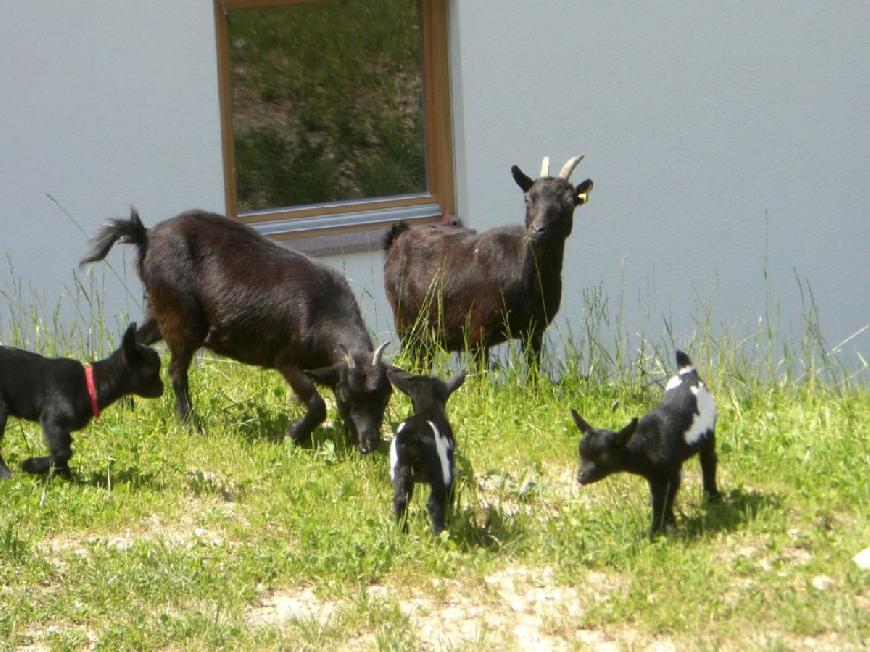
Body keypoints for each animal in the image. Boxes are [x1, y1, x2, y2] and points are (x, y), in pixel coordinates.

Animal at [82, 209, 392, 454]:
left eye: (385, 396)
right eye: (349, 398)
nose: (369, 444)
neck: (322, 309)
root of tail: (145, 235)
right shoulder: (286, 360)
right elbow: (317, 405)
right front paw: (291, 437)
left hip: (161, 313)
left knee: (135, 341)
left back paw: (127, 403)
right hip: (181, 317)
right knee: (176, 372)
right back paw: (190, 424)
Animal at [384, 154, 592, 366]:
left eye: (570, 201)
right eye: (527, 198)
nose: (537, 231)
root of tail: (398, 236)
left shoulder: (534, 331)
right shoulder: (477, 334)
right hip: (407, 327)